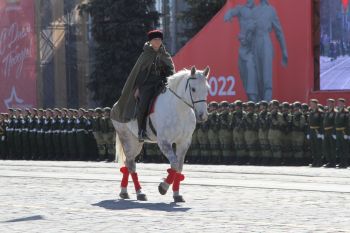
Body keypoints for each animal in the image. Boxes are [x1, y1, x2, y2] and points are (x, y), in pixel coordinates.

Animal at [113, 65, 209, 202]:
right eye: (193, 89)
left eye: (207, 89)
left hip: (136, 143)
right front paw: (163, 187)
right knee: (131, 165)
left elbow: (179, 167)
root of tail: (116, 106)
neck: (179, 109)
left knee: (128, 163)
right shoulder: (164, 142)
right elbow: (174, 165)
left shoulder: (184, 142)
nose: (203, 116)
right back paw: (140, 192)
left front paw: (176, 194)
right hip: (127, 140)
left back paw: (124, 192)